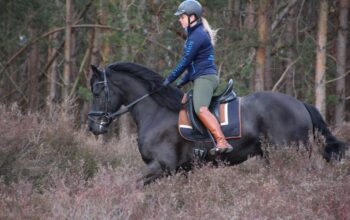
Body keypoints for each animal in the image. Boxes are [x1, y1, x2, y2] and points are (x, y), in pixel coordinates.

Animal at [88, 61, 348, 185]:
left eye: (98, 91)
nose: (93, 126)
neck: (156, 112)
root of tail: (300, 104)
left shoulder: (161, 166)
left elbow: (130, 184)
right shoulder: (181, 170)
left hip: (290, 154)